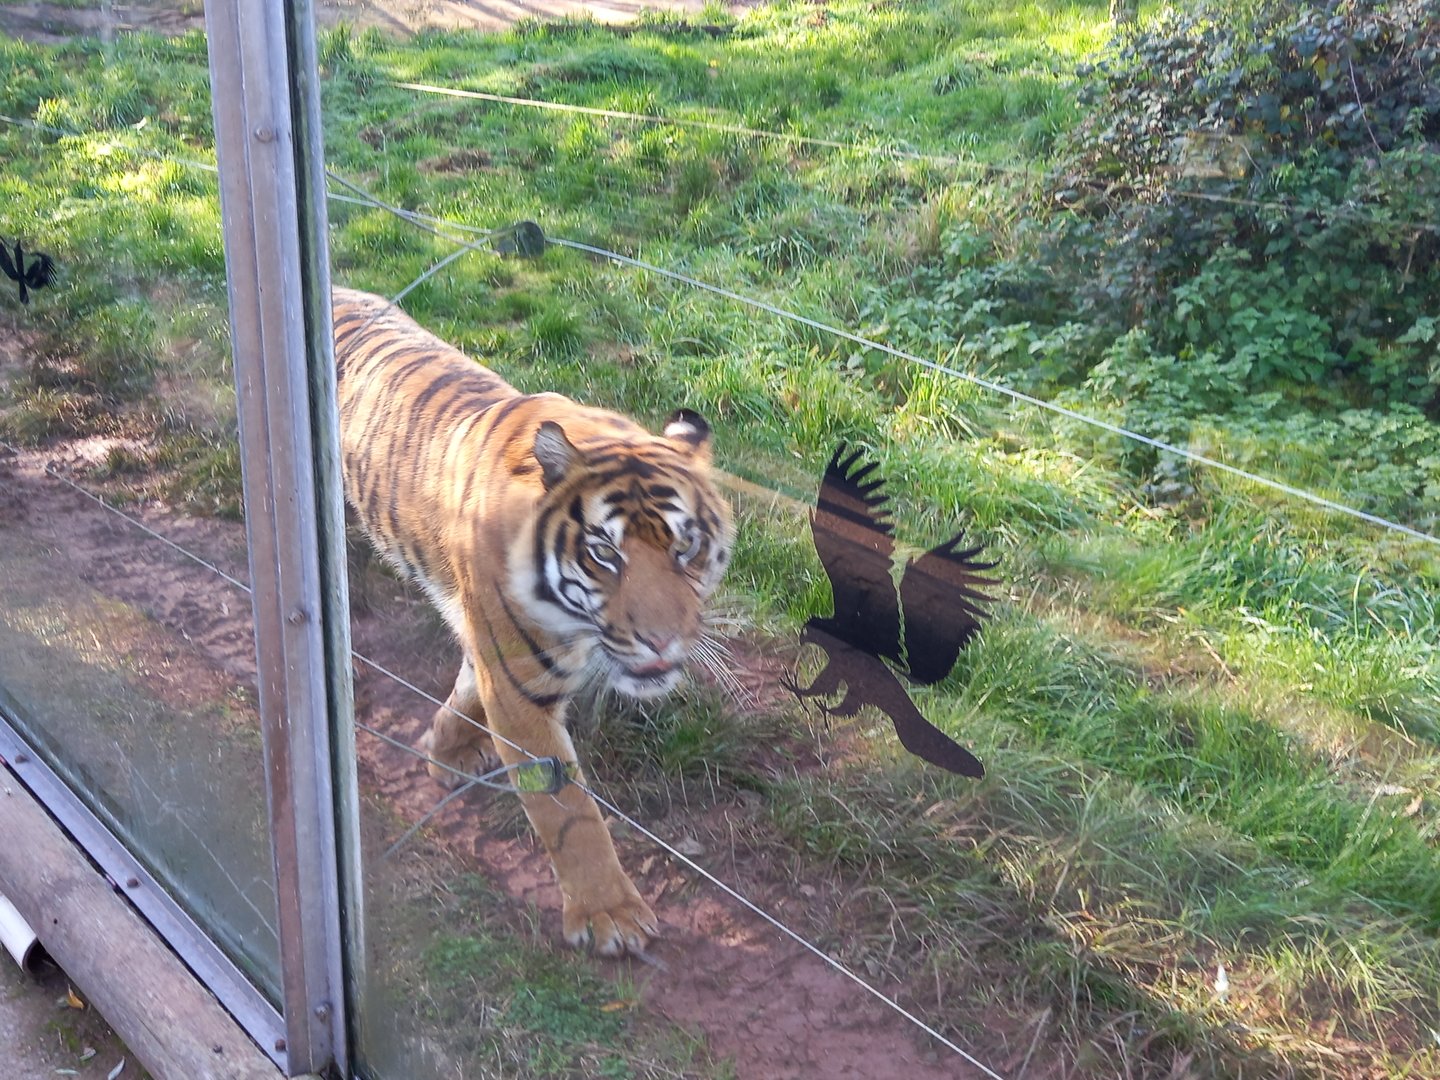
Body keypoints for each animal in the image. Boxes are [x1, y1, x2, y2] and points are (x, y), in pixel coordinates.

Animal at [331, 287, 734, 957]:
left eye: (687, 547)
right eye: (605, 553)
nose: (661, 640)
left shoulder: (497, 656)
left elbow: (466, 691)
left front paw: (444, 751)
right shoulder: (519, 681)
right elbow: (568, 811)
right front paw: (610, 916)